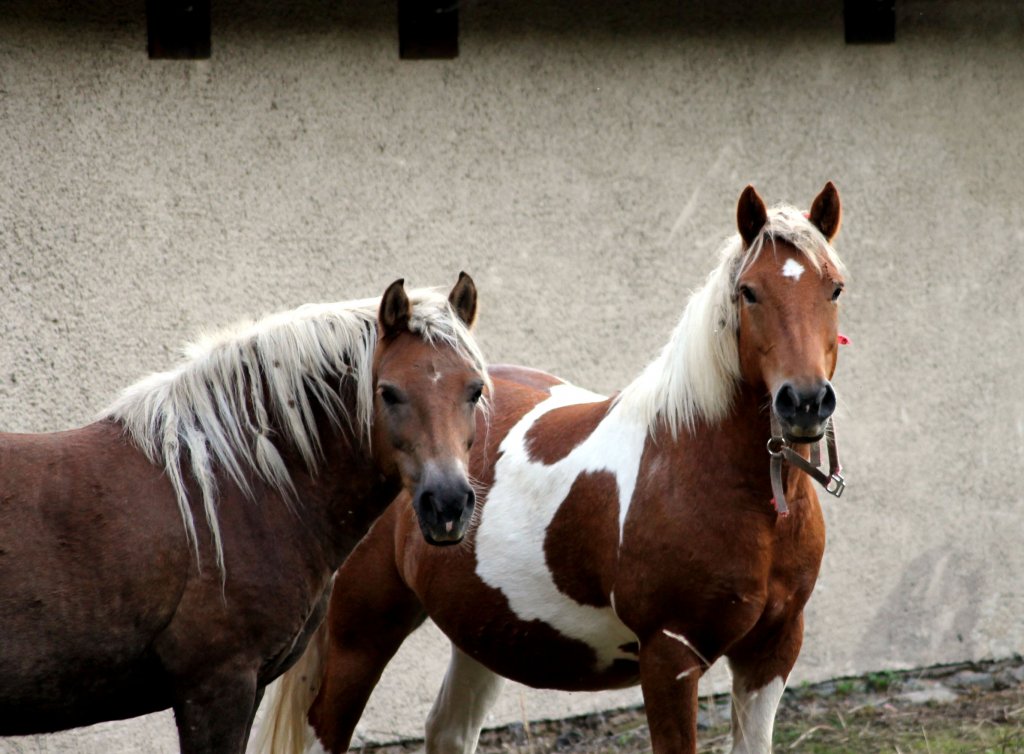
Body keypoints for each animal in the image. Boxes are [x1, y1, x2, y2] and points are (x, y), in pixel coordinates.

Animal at [0, 274, 487, 754]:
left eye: (475, 389)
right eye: (388, 392)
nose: (447, 505)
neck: (228, 493)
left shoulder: (249, 687)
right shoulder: (218, 688)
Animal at [262, 184, 847, 754]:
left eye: (835, 288)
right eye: (749, 291)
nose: (804, 402)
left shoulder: (772, 652)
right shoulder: (670, 658)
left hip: (482, 627)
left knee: (448, 731)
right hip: (360, 632)